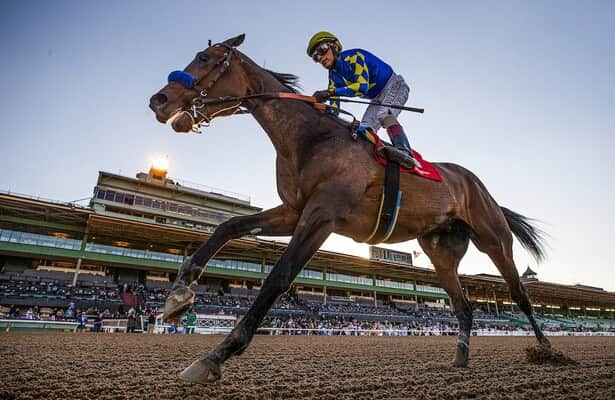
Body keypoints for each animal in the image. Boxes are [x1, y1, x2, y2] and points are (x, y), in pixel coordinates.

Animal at [148, 34, 548, 384]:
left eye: (205, 59)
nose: (158, 100)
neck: (310, 139)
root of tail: (474, 184)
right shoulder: (293, 211)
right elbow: (227, 227)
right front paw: (178, 295)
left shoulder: (322, 216)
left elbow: (278, 277)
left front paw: (215, 356)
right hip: (441, 251)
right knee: (464, 307)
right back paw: (460, 360)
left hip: (494, 239)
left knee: (520, 295)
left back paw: (547, 351)